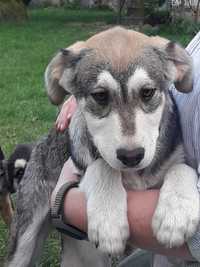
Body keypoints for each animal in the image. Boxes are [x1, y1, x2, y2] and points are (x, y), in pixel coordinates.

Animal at [6, 27, 200, 267]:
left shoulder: (173, 257)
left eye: (147, 92)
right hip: (25, 239)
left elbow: (182, 167)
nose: (132, 156)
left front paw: (176, 214)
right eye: (100, 95)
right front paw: (109, 223)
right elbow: (103, 166)